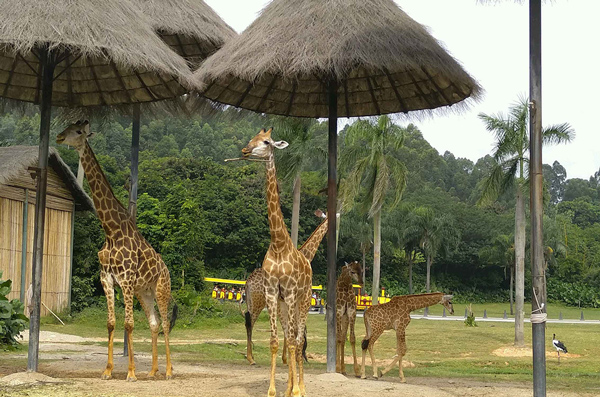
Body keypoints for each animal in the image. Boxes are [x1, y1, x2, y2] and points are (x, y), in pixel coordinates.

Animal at [56, 120, 176, 380]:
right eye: (67, 126)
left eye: (78, 131)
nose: (59, 137)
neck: (111, 231)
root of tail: (167, 269)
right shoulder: (107, 278)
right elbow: (112, 323)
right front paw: (108, 370)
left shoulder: (127, 278)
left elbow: (128, 324)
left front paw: (130, 372)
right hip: (144, 293)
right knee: (154, 324)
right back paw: (152, 371)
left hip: (161, 288)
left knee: (165, 323)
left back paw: (169, 371)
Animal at [237, 127, 314, 396]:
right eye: (252, 138)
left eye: (267, 142)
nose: (245, 150)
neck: (279, 245)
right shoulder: (272, 293)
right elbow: (274, 341)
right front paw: (274, 390)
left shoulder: (290, 293)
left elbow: (292, 341)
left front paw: (296, 390)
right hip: (282, 304)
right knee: (290, 337)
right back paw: (290, 386)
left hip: (303, 300)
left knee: (298, 339)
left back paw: (301, 387)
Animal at [243, 209, 328, 364]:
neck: (307, 254)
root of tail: (247, 282)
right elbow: (293, 329)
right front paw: (290, 358)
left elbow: (289, 329)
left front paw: (286, 358)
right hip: (259, 301)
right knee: (250, 322)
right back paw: (251, 358)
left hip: (252, 301)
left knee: (248, 319)